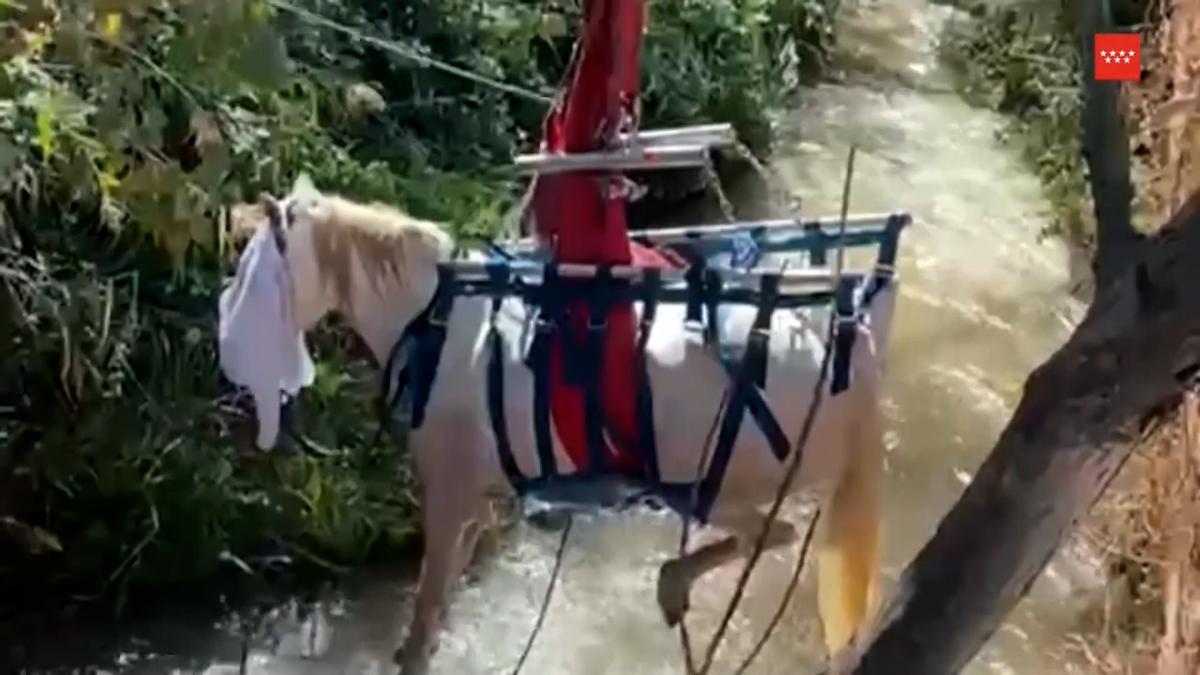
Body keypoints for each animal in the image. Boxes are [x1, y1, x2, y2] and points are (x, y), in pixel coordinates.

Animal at [216, 175, 897, 674]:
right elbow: (438, 606)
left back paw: (674, 585)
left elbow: (428, 602)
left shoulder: (449, 490)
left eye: (254, 260)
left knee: (774, 531)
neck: (435, 320)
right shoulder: (477, 496)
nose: (223, 334)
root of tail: (850, 346)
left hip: (723, 484)